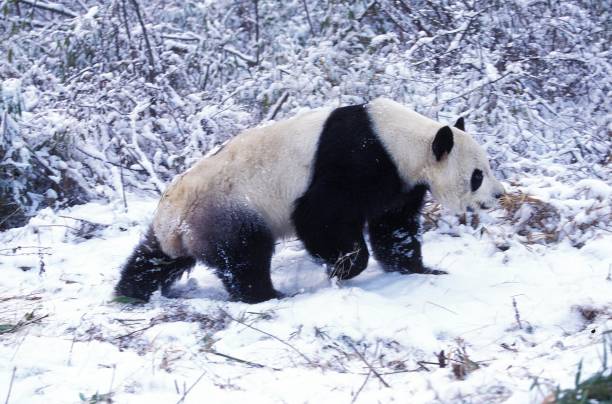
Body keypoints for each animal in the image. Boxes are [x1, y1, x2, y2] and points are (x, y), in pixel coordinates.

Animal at [113, 98, 502, 304]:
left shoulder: (400, 182)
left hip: (185, 227)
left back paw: (129, 292)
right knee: (244, 256)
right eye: (477, 175)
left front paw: (421, 269)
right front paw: (341, 268)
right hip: (228, 209)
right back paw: (268, 295)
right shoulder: (356, 160)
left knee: (154, 259)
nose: (499, 196)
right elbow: (319, 217)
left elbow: (394, 228)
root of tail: (174, 226)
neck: (402, 140)